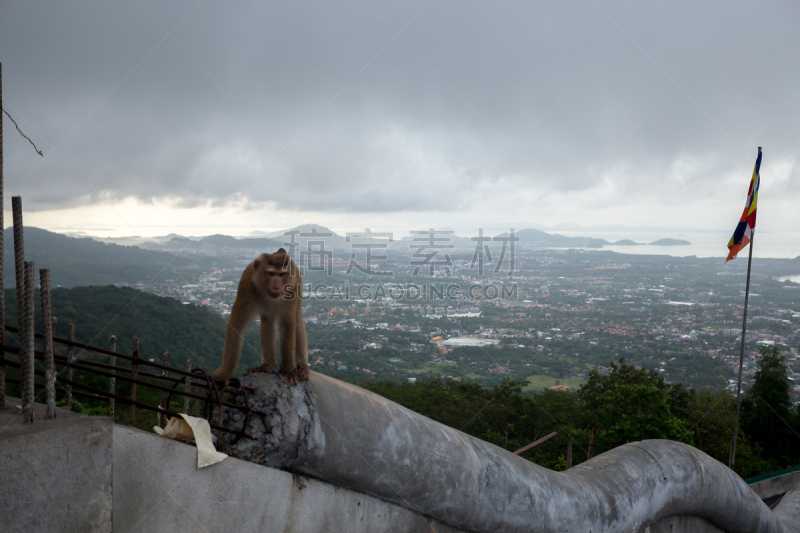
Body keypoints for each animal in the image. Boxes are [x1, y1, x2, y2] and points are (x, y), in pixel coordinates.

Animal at [212, 247, 310, 384]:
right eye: (271, 273)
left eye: (281, 274)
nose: (277, 286)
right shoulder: (246, 285)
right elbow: (237, 326)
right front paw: (224, 373)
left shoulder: (292, 287)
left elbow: (288, 324)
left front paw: (289, 370)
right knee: (267, 320)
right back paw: (267, 364)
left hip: (297, 280)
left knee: (297, 320)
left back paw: (301, 364)